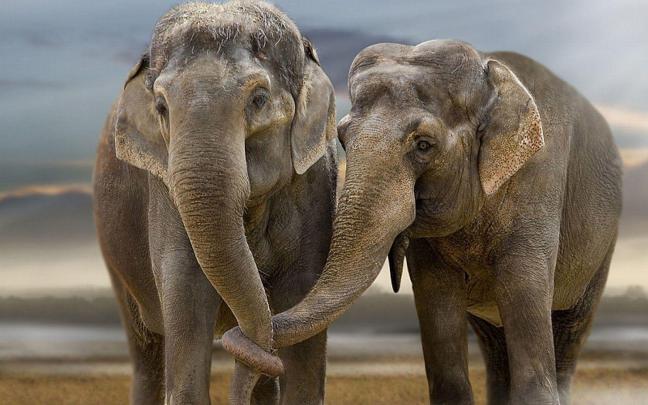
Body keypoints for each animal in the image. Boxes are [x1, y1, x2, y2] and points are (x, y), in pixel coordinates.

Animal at [93, 2, 337, 404]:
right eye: (161, 107)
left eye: (258, 99)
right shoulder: (165, 190)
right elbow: (187, 291)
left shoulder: (315, 185)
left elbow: (303, 298)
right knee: (146, 351)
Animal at [223, 39, 623, 405]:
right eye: (343, 137)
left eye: (424, 145)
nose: (239, 341)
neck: (488, 75)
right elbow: (437, 303)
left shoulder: (538, 183)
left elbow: (523, 288)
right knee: (495, 348)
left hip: (601, 249)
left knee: (570, 329)